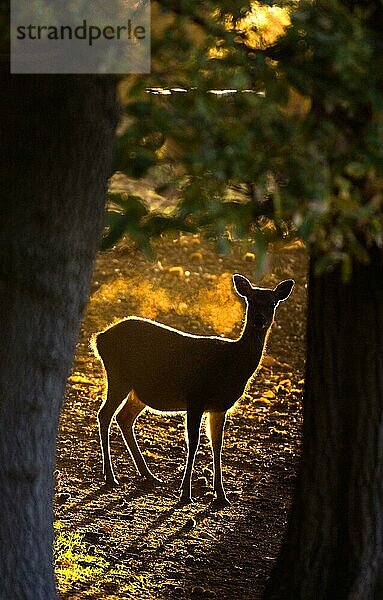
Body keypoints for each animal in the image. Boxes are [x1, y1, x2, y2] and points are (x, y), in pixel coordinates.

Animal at [94, 274, 296, 504]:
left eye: (272, 303)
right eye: (251, 300)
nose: (260, 319)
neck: (232, 363)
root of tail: (99, 338)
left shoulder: (219, 407)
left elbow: (217, 444)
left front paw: (221, 495)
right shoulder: (195, 398)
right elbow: (193, 443)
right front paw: (185, 492)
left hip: (138, 391)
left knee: (124, 418)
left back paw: (149, 474)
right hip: (118, 376)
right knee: (105, 414)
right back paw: (110, 476)